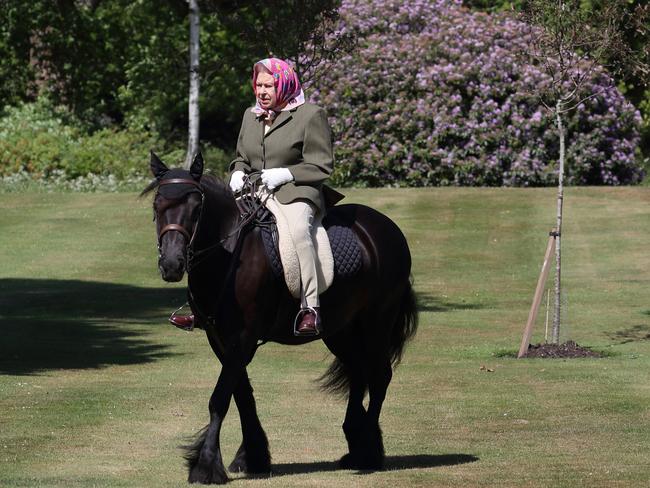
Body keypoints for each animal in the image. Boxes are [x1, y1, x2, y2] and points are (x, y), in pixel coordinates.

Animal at [143, 152, 416, 484]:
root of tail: (386, 228)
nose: (172, 264)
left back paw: (368, 452)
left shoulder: (243, 338)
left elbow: (220, 398)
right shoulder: (219, 338)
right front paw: (252, 456)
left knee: (378, 377)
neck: (229, 252)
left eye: (197, 208)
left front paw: (206, 465)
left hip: (377, 322)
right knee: (357, 371)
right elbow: (242, 395)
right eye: (157, 206)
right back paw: (355, 443)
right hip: (339, 329)